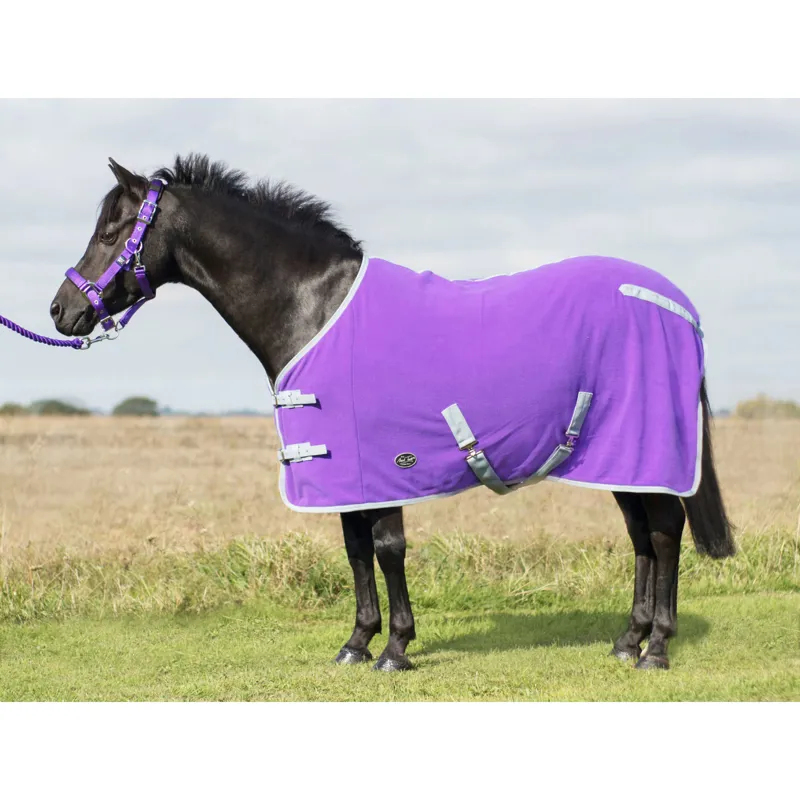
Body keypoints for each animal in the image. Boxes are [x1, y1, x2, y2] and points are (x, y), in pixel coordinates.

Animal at [49, 154, 735, 672]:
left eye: (110, 232)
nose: (62, 311)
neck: (315, 307)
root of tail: (681, 306)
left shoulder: (381, 462)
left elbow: (386, 547)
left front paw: (396, 650)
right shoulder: (345, 472)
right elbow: (354, 549)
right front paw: (357, 643)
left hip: (646, 445)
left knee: (664, 531)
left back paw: (656, 649)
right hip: (614, 457)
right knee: (642, 535)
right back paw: (627, 641)